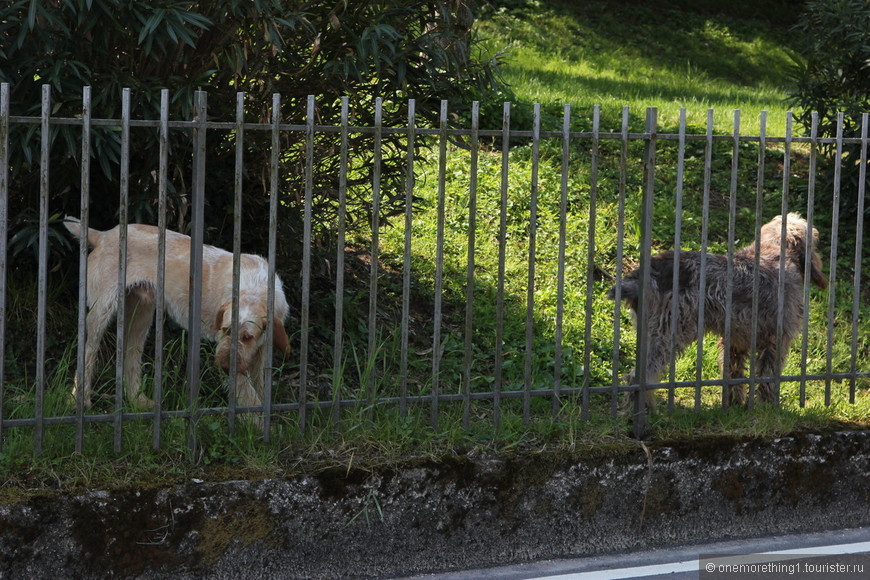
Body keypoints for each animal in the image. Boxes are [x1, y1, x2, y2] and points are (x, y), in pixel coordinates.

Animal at [63, 216, 292, 412]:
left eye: (247, 337)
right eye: (226, 330)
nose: (224, 366)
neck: (256, 287)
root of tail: (103, 235)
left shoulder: (260, 351)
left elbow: (259, 387)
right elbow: (249, 395)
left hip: (141, 314)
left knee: (131, 355)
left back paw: (139, 401)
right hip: (101, 313)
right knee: (88, 352)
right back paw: (78, 401)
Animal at [608, 214, 828, 412]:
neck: (777, 252)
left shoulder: (735, 343)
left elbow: (733, 376)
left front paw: (734, 404)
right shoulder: (776, 341)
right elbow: (767, 377)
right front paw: (768, 406)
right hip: (667, 336)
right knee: (639, 377)